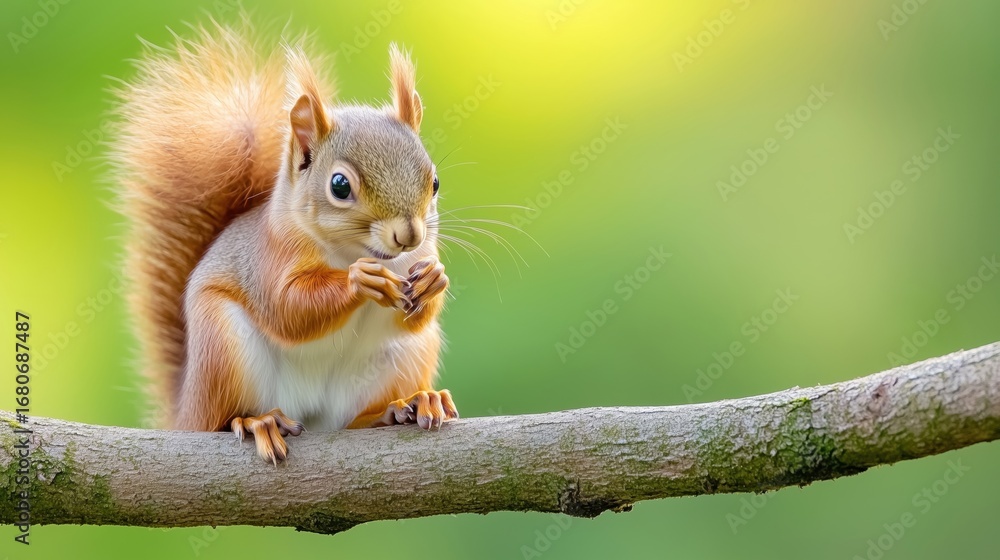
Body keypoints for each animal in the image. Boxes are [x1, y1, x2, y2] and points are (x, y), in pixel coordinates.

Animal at [110, 21, 458, 464]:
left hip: (404, 357)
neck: (355, 251)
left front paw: (434, 278)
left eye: (435, 182)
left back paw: (403, 407)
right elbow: (287, 308)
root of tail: (187, 407)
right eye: (339, 185)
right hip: (224, 348)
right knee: (221, 419)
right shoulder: (271, 256)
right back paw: (256, 422)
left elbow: (412, 316)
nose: (409, 235)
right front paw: (360, 281)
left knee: (354, 418)